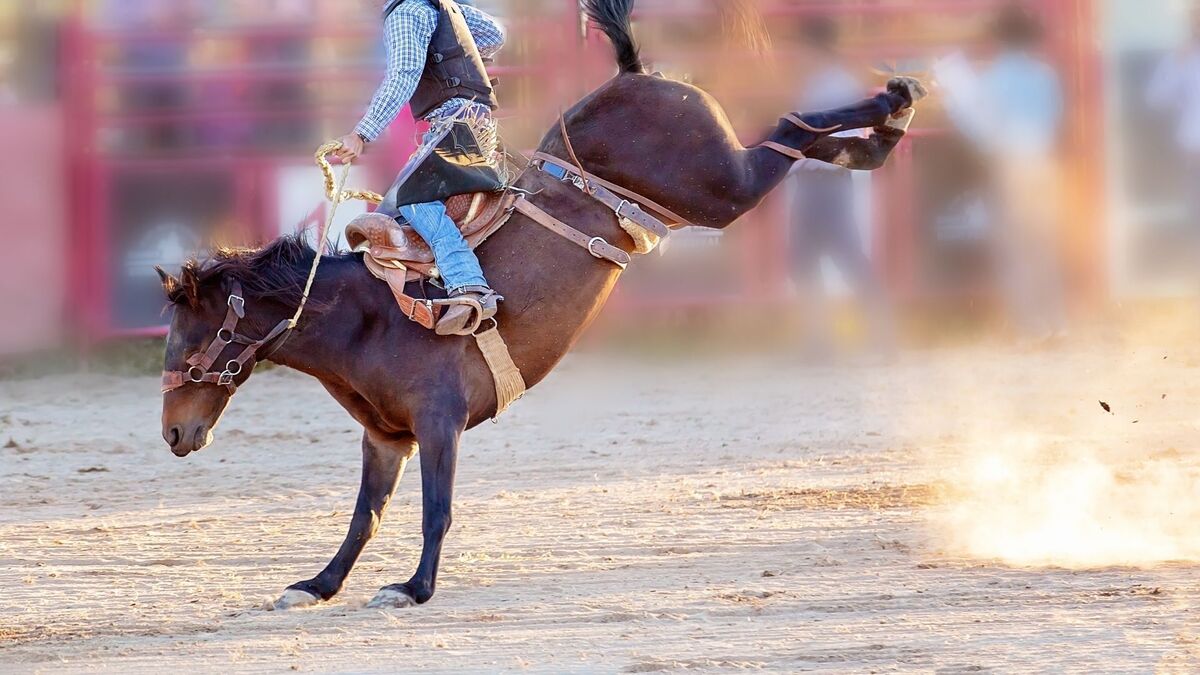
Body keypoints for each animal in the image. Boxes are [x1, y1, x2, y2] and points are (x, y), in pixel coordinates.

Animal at [157, 0, 926, 610]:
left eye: (192, 339)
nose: (172, 433)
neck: (366, 316)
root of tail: (631, 73)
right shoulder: (386, 437)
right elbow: (363, 519)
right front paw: (317, 585)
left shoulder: (440, 422)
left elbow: (436, 509)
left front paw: (413, 588)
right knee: (800, 142)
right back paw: (884, 131)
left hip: (722, 185)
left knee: (789, 134)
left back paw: (895, 102)